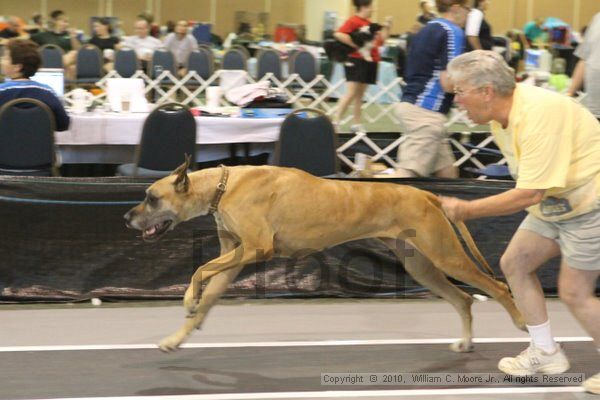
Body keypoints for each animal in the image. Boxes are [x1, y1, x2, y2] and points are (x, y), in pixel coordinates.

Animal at [124, 159, 524, 354]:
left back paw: (522, 323)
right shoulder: (234, 256)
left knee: (499, 287)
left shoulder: (255, 248)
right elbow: (208, 289)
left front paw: (188, 299)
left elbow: (200, 271)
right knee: (463, 300)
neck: (223, 186)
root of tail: (428, 194)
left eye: (152, 198)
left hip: (444, 255)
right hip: (421, 265)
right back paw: (467, 341)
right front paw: (178, 336)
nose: (127, 218)